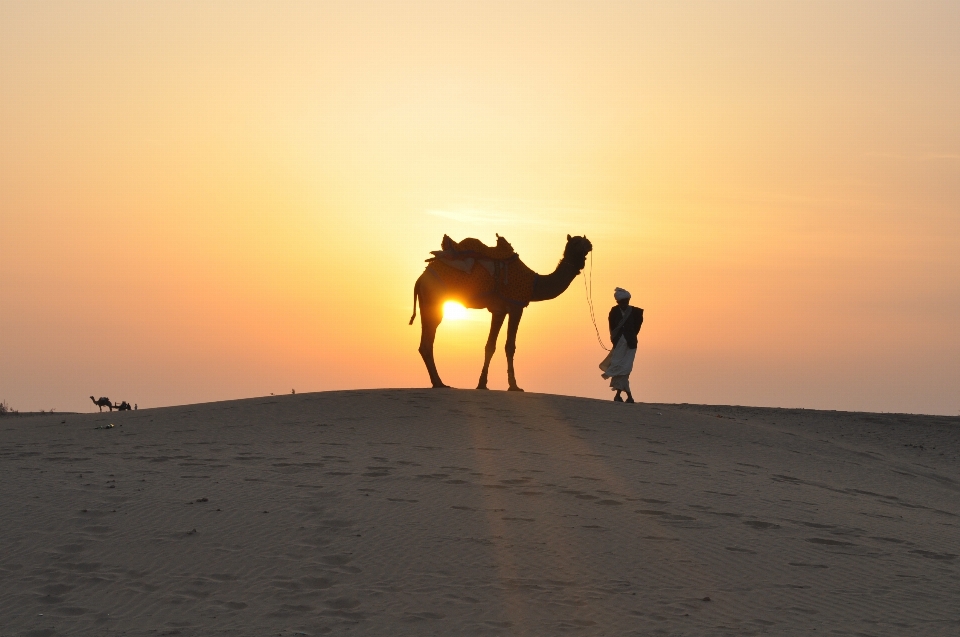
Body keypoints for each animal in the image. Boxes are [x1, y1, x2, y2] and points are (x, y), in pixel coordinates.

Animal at [406, 234, 588, 390]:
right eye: (577, 243)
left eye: (585, 242)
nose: (590, 244)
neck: (535, 284)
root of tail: (420, 279)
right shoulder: (516, 306)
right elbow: (510, 346)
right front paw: (514, 386)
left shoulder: (499, 310)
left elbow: (490, 346)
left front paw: (482, 384)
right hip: (434, 302)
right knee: (427, 343)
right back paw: (439, 383)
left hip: (427, 303)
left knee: (425, 343)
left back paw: (438, 382)